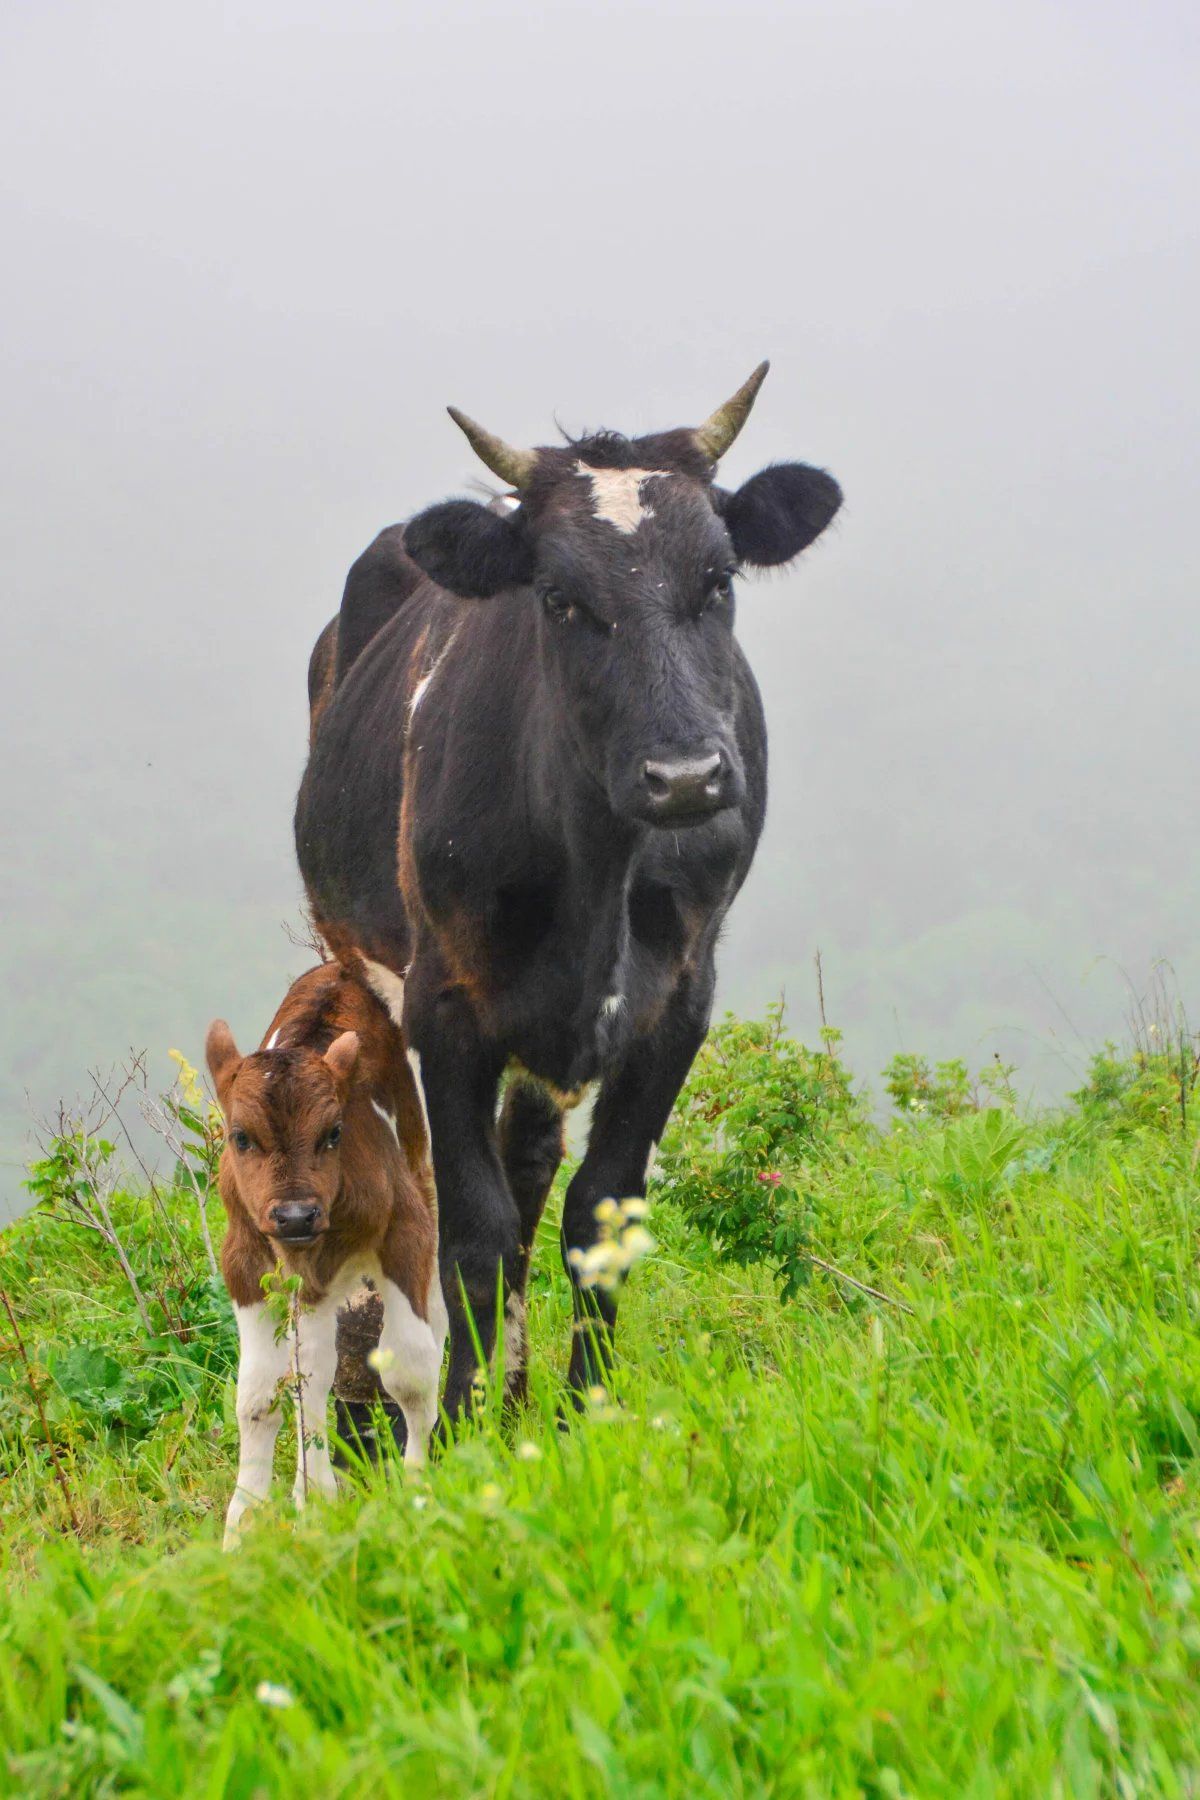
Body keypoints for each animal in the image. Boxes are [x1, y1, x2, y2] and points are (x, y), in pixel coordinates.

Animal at [208, 964, 447, 1540]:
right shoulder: (244, 1260)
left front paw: (418, 1489)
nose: (295, 1215)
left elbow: (410, 1371)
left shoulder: (407, 1232)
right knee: (314, 1369)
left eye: (334, 1132)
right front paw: (243, 1524)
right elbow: (260, 1393)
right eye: (240, 1137)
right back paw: (312, 1495)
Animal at [296, 358, 845, 1411]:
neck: (600, 872)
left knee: (531, 1165)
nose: (686, 778)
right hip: (368, 973)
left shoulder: (677, 1002)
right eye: (556, 598)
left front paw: (585, 1410)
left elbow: (598, 1214)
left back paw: (517, 1389)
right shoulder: (445, 1005)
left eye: (718, 580)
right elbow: (471, 1232)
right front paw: (461, 1423)